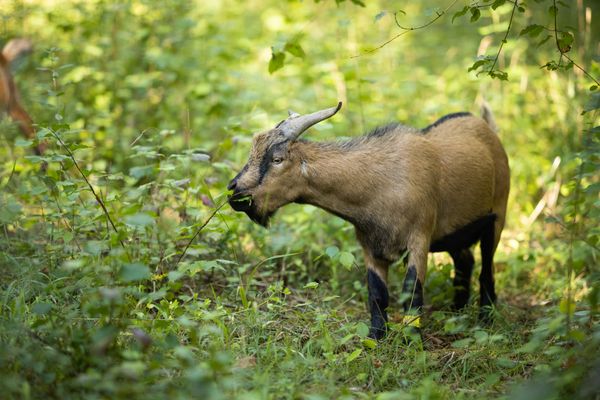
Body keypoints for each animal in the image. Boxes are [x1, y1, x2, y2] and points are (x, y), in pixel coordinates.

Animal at [227, 101, 508, 340]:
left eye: (277, 159)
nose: (234, 192)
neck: (380, 182)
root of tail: (484, 125)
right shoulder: (370, 245)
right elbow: (377, 293)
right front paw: (375, 337)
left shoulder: (419, 237)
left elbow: (411, 290)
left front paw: (411, 339)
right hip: (455, 232)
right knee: (465, 261)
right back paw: (456, 311)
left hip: (497, 217)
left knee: (486, 269)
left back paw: (486, 318)